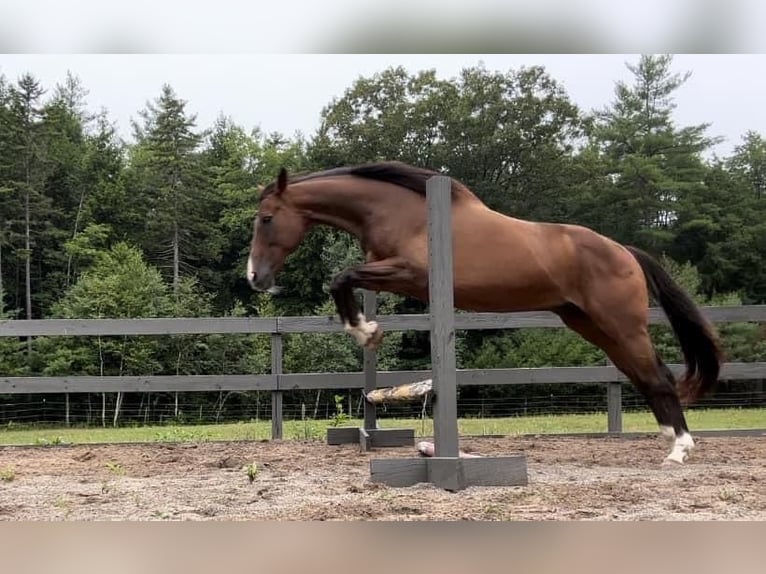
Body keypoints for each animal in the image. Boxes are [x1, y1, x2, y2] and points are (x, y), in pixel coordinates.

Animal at [248, 160, 728, 466]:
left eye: (267, 218)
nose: (255, 277)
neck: (399, 210)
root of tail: (625, 251)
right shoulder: (390, 274)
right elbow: (344, 280)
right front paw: (367, 329)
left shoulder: (409, 273)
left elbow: (340, 277)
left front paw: (367, 332)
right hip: (593, 326)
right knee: (644, 376)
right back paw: (669, 439)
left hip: (621, 326)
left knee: (659, 376)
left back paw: (680, 449)